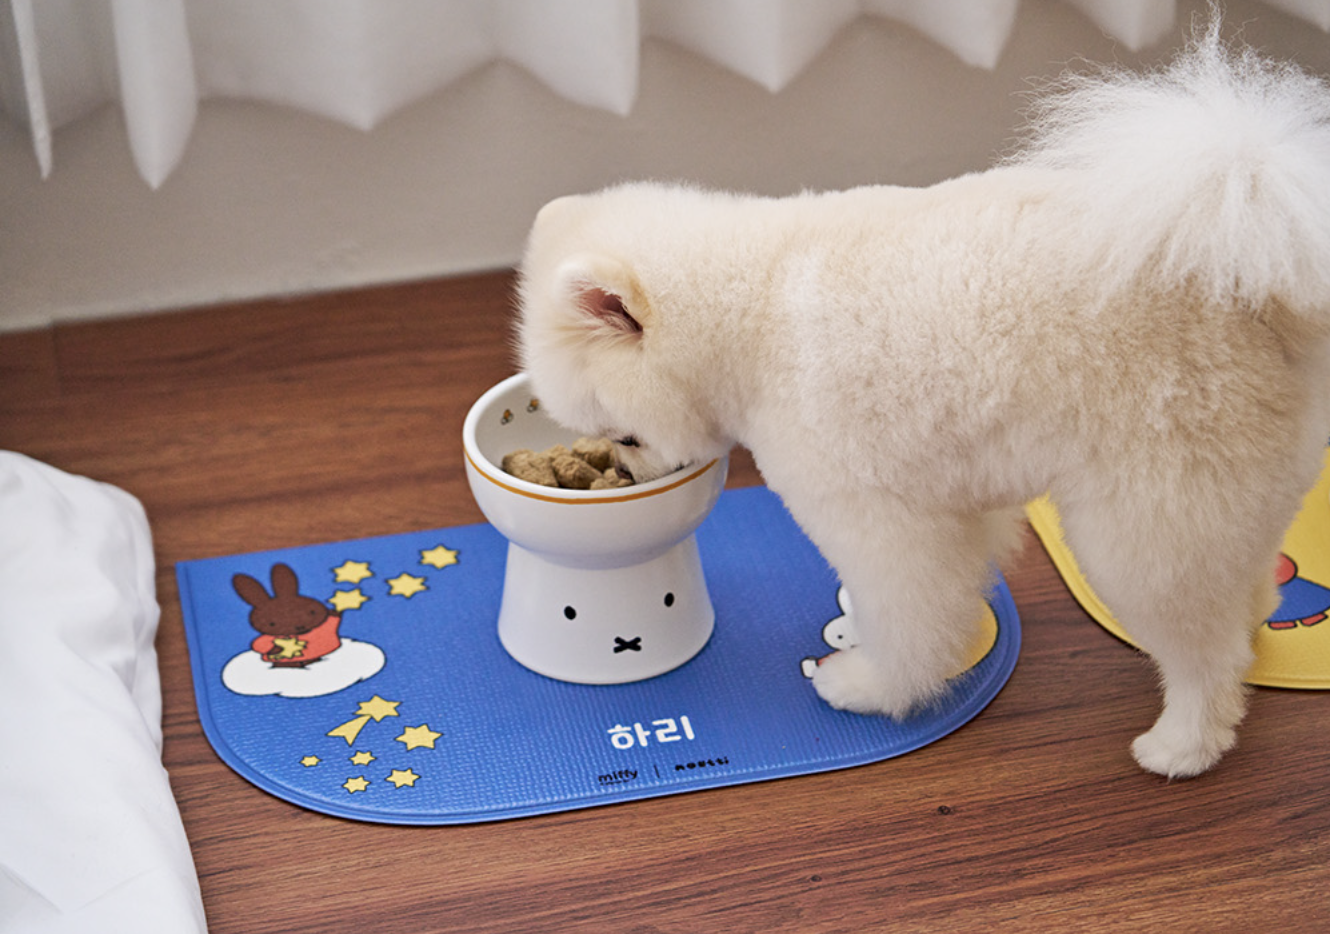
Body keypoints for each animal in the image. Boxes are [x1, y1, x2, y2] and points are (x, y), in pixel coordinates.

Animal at [513, 25, 1330, 777]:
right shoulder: (953, 495)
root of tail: (1253, 286)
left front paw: (871, 684)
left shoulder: (873, 512)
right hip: (1228, 497)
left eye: (624, 437)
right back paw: (1255, 613)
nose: (637, 481)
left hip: (1145, 521)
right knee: (1239, 583)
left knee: (1202, 652)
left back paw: (1184, 743)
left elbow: (904, 614)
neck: (750, 312)